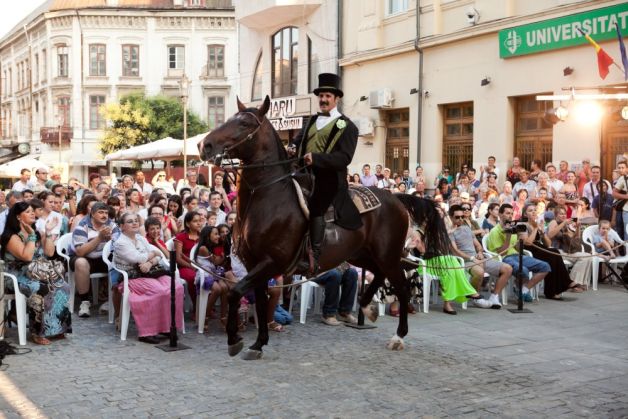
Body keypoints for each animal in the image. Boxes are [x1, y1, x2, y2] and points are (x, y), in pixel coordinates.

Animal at [199, 97, 448, 360]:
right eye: (229, 119)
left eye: (245, 123)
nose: (205, 145)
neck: (267, 197)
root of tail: (397, 198)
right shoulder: (253, 264)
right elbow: (258, 300)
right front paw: (257, 343)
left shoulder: (271, 262)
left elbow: (236, 292)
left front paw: (234, 340)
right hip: (362, 254)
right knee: (380, 275)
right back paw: (366, 306)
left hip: (386, 254)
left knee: (401, 287)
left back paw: (398, 336)